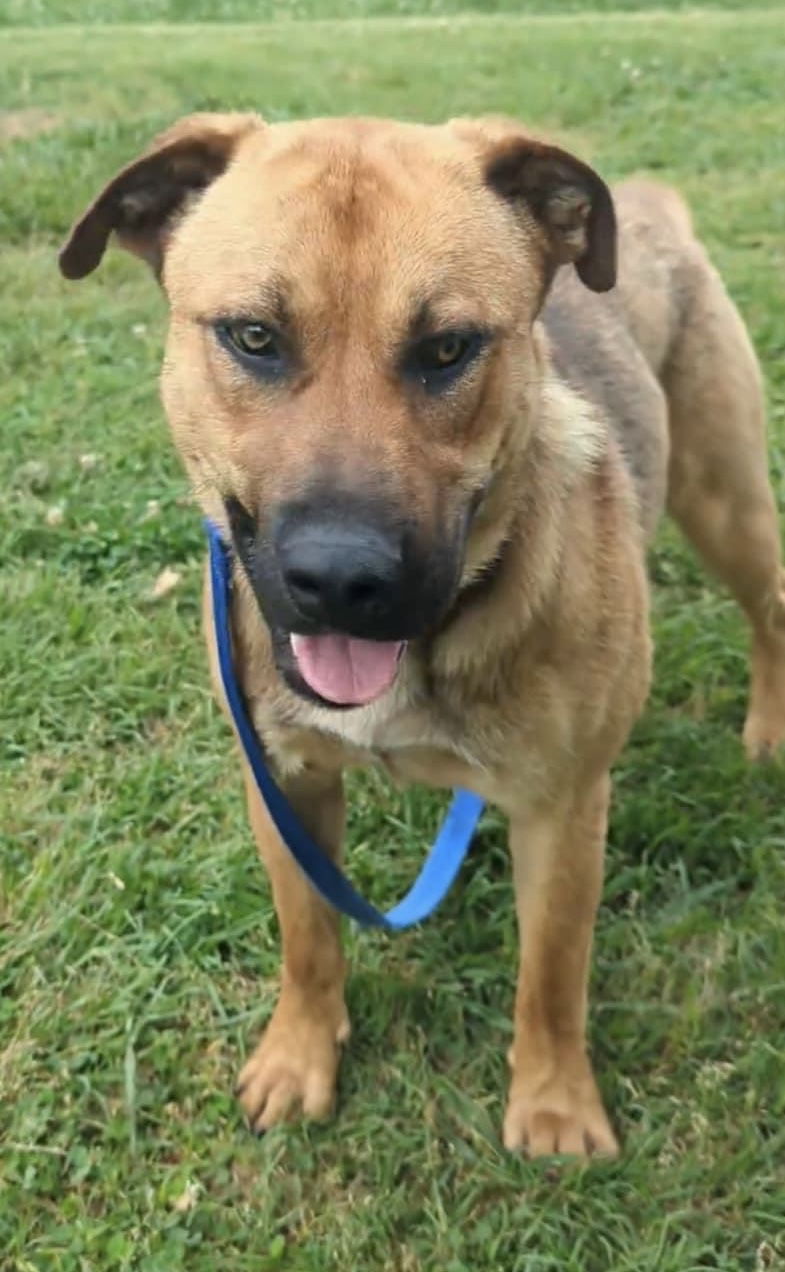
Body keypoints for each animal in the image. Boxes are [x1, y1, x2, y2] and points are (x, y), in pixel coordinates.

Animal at [58, 114, 783, 1160]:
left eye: (448, 347)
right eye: (252, 337)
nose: (338, 579)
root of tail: (652, 208)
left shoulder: (562, 808)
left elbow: (549, 977)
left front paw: (553, 1102)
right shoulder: (283, 781)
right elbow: (308, 937)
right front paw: (300, 1055)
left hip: (726, 504)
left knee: (770, 610)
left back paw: (766, 731)